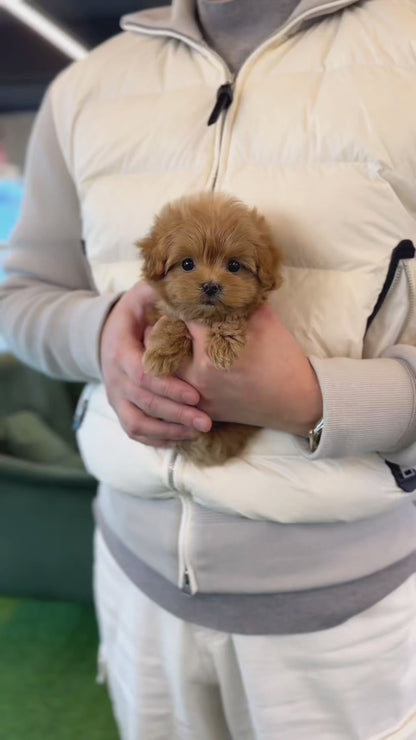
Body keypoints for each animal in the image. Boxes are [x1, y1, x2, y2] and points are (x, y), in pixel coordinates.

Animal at [136, 194, 282, 466]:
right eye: (187, 263)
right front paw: (160, 355)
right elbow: (174, 320)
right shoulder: (162, 312)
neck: (206, 318)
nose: (211, 286)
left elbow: (231, 316)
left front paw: (224, 346)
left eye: (234, 266)